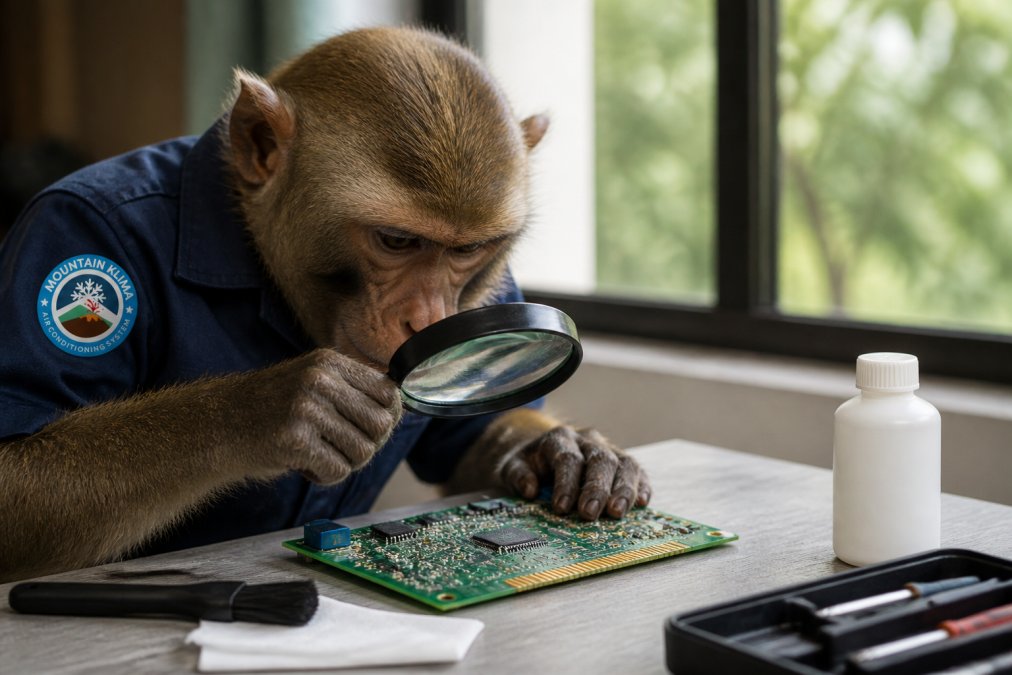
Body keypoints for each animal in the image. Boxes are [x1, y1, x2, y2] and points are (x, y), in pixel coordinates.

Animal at [0, 27, 650, 583]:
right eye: (396, 241)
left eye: (468, 250)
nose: (427, 320)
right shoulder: (72, 230)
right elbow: (15, 475)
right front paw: (278, 408)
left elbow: (471, 434)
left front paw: (571, 451)